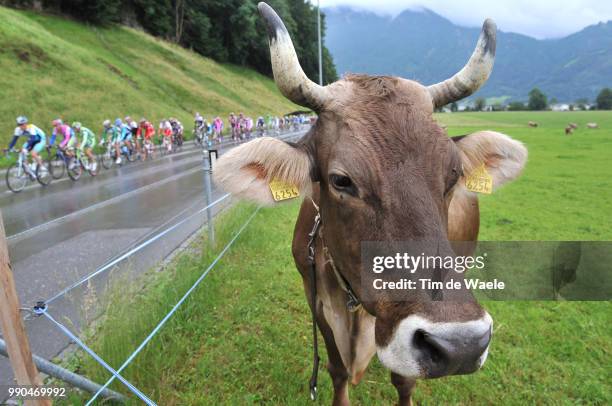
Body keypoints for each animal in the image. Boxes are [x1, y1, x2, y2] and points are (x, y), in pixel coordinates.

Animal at [214, 2, 524, 402]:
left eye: (453, 174)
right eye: (341, 180)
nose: (460, 345)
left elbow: (404, 380)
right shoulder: (316, 302)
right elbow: (336, 370)